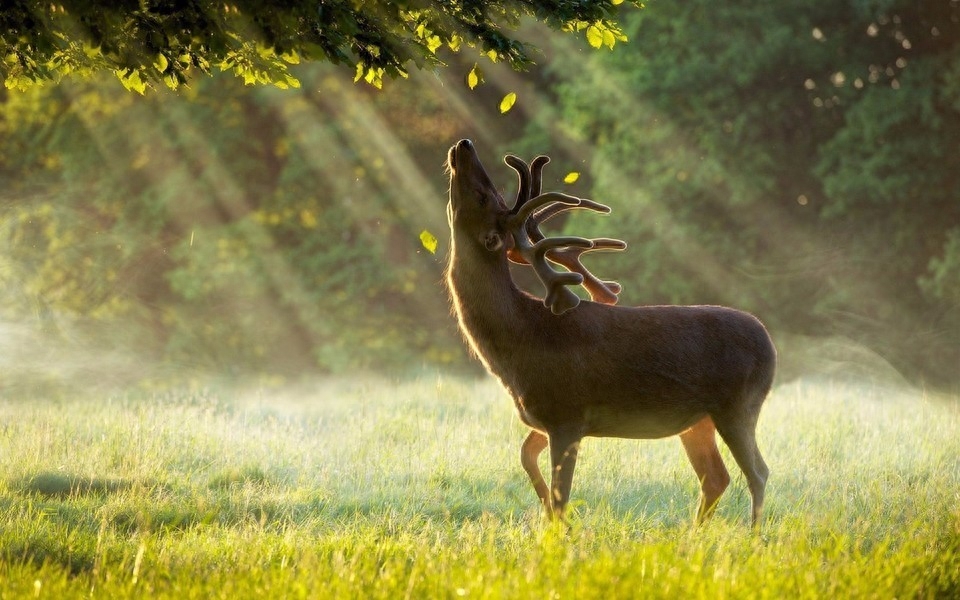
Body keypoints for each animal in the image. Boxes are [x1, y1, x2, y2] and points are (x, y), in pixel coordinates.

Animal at [446, 139, 776, 524]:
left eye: (485, 196)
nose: (464, 144)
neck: (519, 342)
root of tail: (770, 345)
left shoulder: (567, 413)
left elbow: (561, 495)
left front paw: (557, 527)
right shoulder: (546, 418)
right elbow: (526, 458)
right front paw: (544, 513)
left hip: (738, 405)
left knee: (757, 472)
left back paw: (753, 533)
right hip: (698, 420)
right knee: (716, 476)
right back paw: (695, 533)